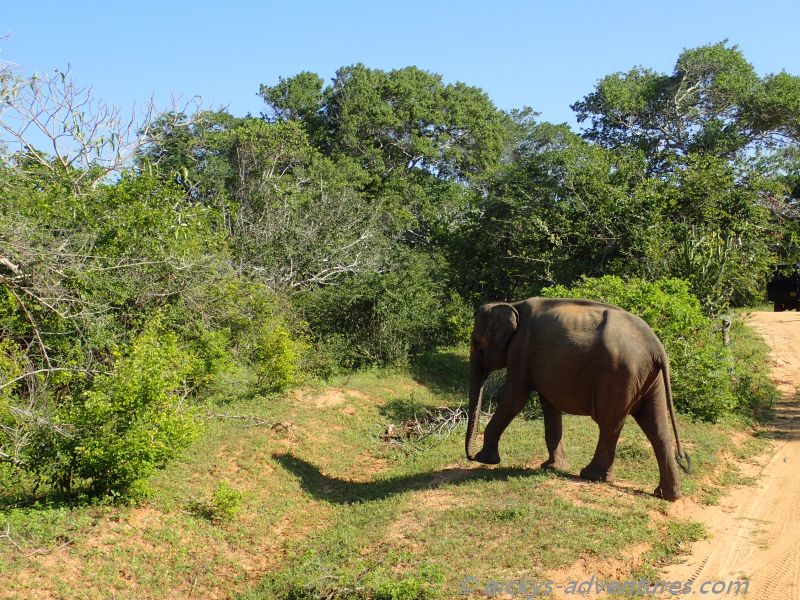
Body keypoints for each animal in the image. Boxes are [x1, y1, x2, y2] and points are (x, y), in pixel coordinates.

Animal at [464, 297, 689, 501]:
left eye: (479, 344)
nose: (470, 456)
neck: (512, 304)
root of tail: (657, 346)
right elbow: (549, 405)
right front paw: (552, 467)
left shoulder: (520, 350)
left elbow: (515, 397)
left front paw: (486, 460)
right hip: (651, 378)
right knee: (656, 427)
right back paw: (667, 495)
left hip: (620, 374)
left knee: (610, 424)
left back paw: (591, 475)